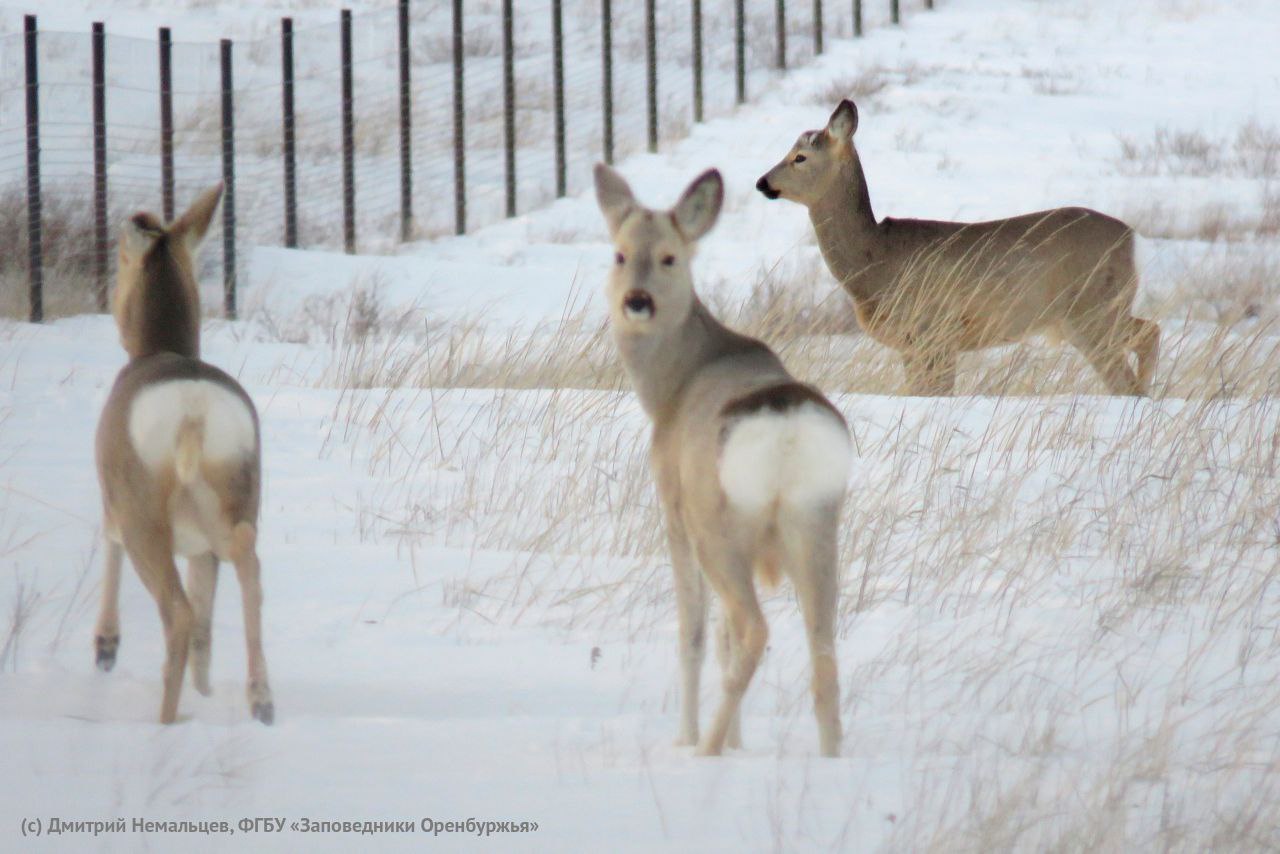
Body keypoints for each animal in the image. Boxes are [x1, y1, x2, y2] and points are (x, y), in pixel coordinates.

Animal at [94, 184, 275, 727]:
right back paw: (260, 701)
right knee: (245, 569)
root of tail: (193, 415)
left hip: (145, 518)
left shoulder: (110, 498)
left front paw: (105, 646)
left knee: (177, 612)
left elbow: (103, 537)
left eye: (121, 260)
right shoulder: (200, 547)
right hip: (237, 499)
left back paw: (166, 720)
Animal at [593, 163, 855, 757]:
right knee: (822, 645)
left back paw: (706, 747)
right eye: (620, 254)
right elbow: (721, 638)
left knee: (753, 628)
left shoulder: (672, 507)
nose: (636, 301)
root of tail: (785, 431)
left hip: (720, 523)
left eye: (670, 257)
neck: (673, 383)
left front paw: (687, 738)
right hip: (817, 520)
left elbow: (693, 633)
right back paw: (829, 754)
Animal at [757, 100, 1162, 396]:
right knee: (1147, 334)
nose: (762, 182)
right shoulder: (914, 346)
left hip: (1092, 311)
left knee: (1133, 361)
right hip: (1100, 310)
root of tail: (1131, 239)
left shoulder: (934, 334)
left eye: (800, 157)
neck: (875, 261)